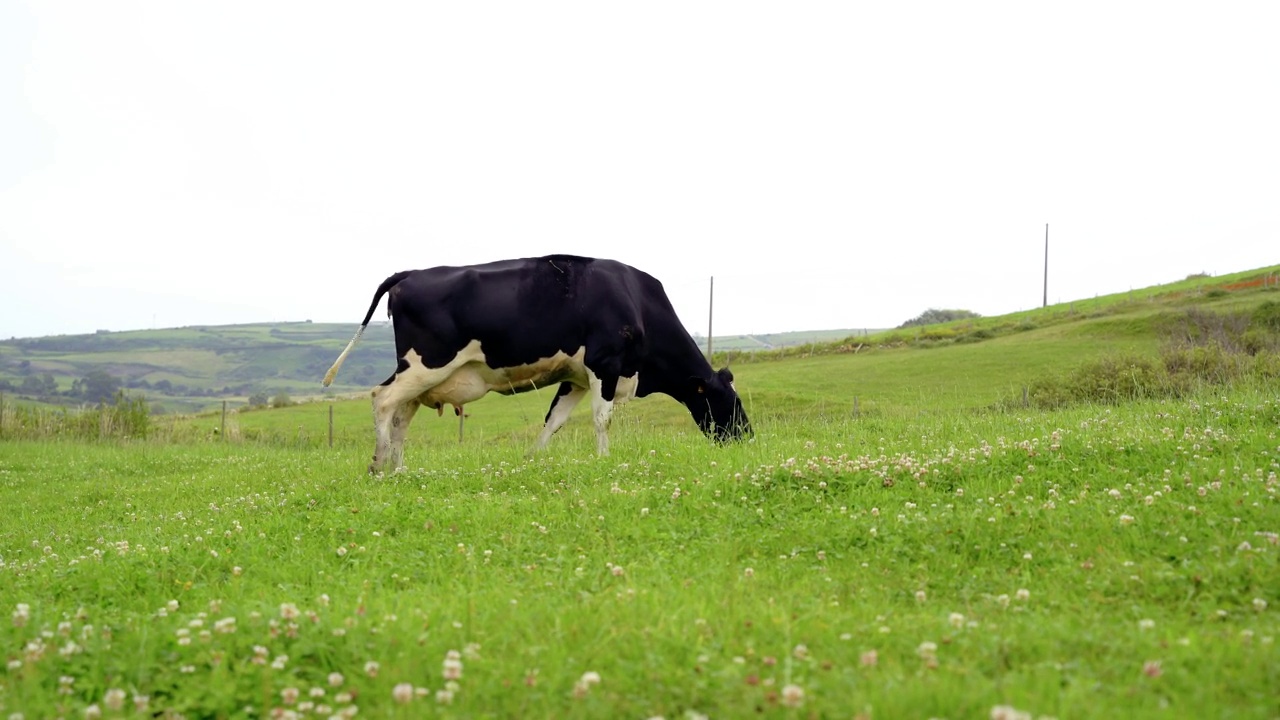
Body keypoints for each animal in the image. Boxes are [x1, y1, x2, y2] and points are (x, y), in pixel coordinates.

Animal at [320, 252, 752, 471]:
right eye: (730, 402)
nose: (748, 438)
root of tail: (410, 273)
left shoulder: (576, 377)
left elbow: (554, 420)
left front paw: (532, 458)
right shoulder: (606, 364)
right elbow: (602, 418)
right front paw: (605, 459)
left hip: (421, 373)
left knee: (401, 413)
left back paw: (399, 468)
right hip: (426, 364)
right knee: (382, 400)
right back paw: (379, 465)